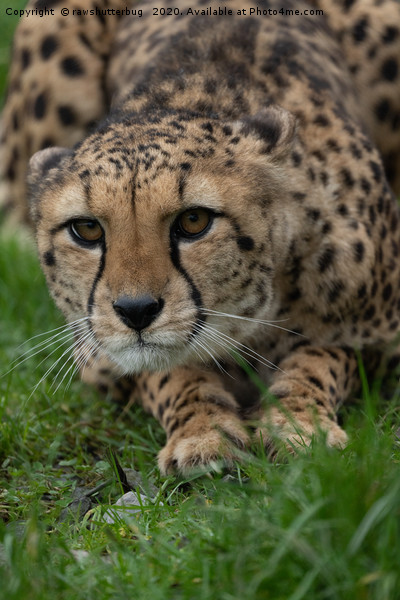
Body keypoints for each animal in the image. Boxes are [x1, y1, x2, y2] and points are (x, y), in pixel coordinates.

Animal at [2, 0, 400, 474]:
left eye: (194, 221)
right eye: (87, 229)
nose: (135, 311)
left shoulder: (378, 337)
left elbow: (317, 360)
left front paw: (299, 427)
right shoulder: (96, 356)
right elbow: (168, 374)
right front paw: (203, 433)